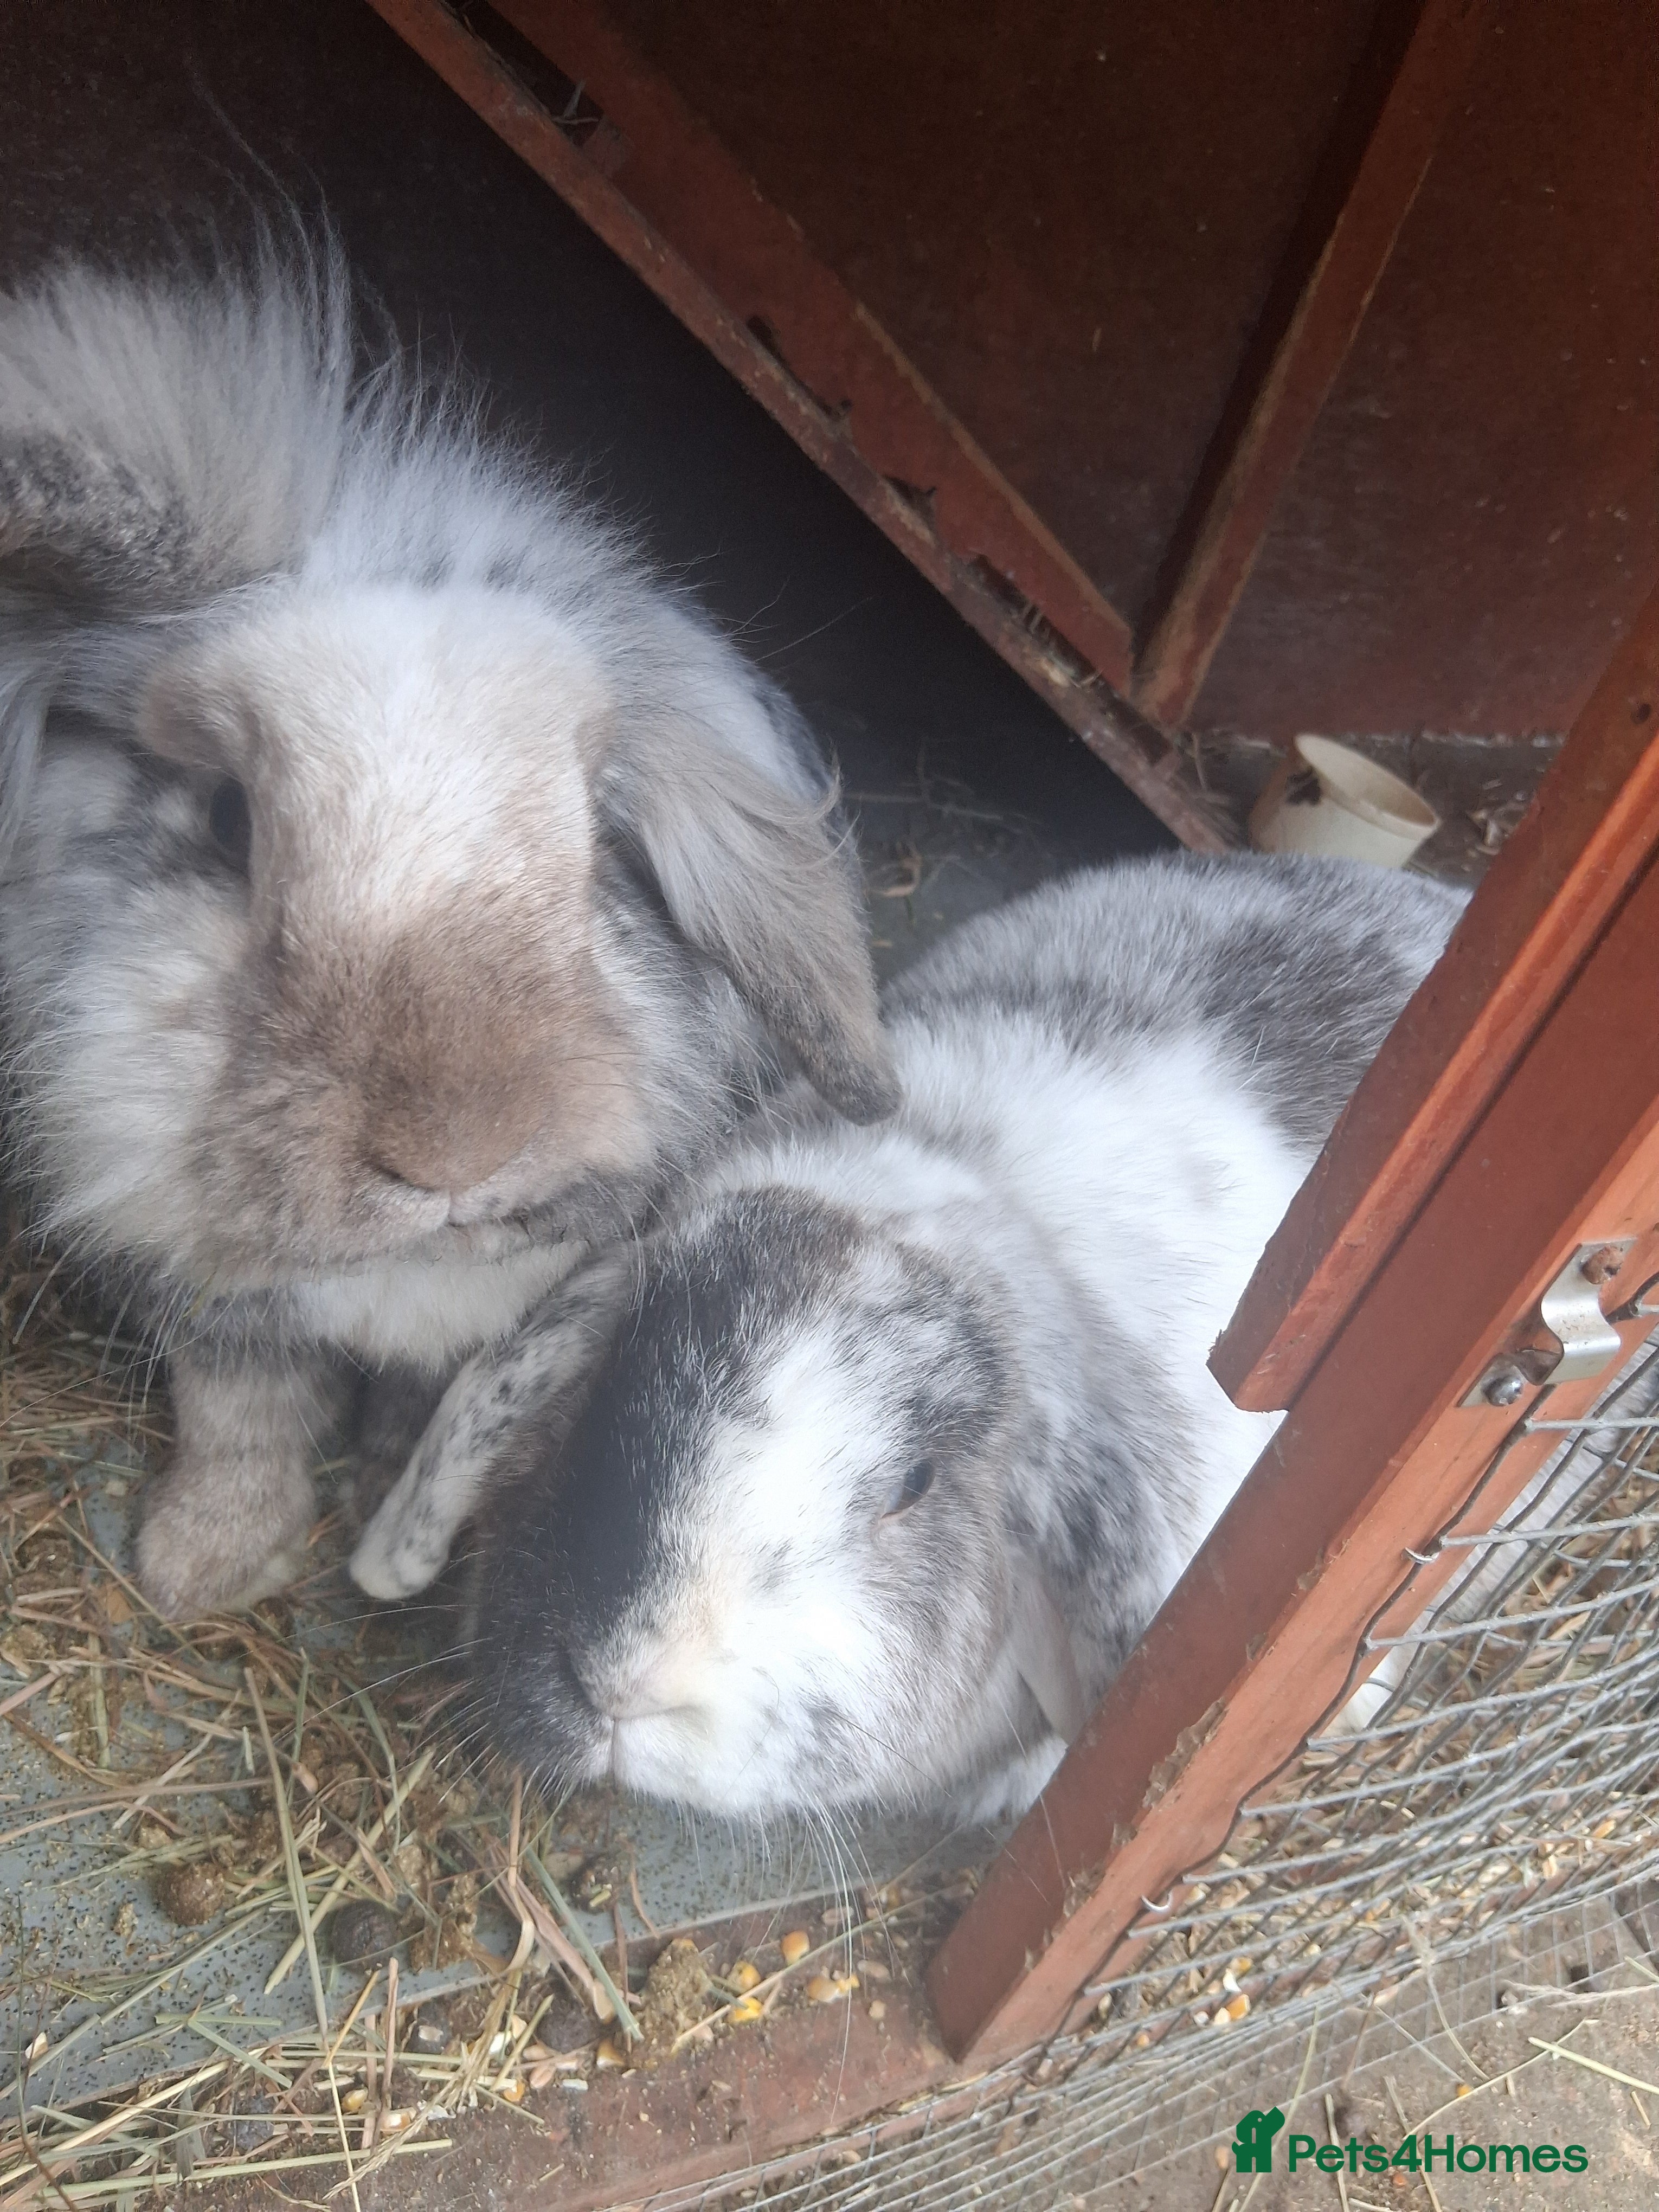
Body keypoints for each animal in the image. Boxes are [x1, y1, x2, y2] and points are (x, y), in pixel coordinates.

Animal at [0, 231, 894, 1620]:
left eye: (600, 846)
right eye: (227, 821)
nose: (456, 1159)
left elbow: (410, 1408)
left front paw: (369, 1507)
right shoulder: (215, 1301)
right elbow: (240, 1418)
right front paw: (202, 1569)